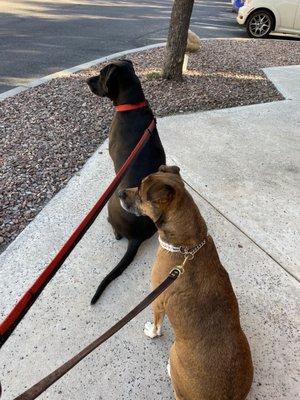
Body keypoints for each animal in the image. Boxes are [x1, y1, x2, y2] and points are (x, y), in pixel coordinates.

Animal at [86, 59, 166, 304]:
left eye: (101, 74)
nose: (86, 80)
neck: (132, 105)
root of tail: (137, 237)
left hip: (110, 206)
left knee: (116, 230)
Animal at [119, 166, 253, 400]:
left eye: (141, 194)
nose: (119, 193)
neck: (188, 247)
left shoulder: (157, 300)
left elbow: (157, 326)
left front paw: (151, 332)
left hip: (174, 352)